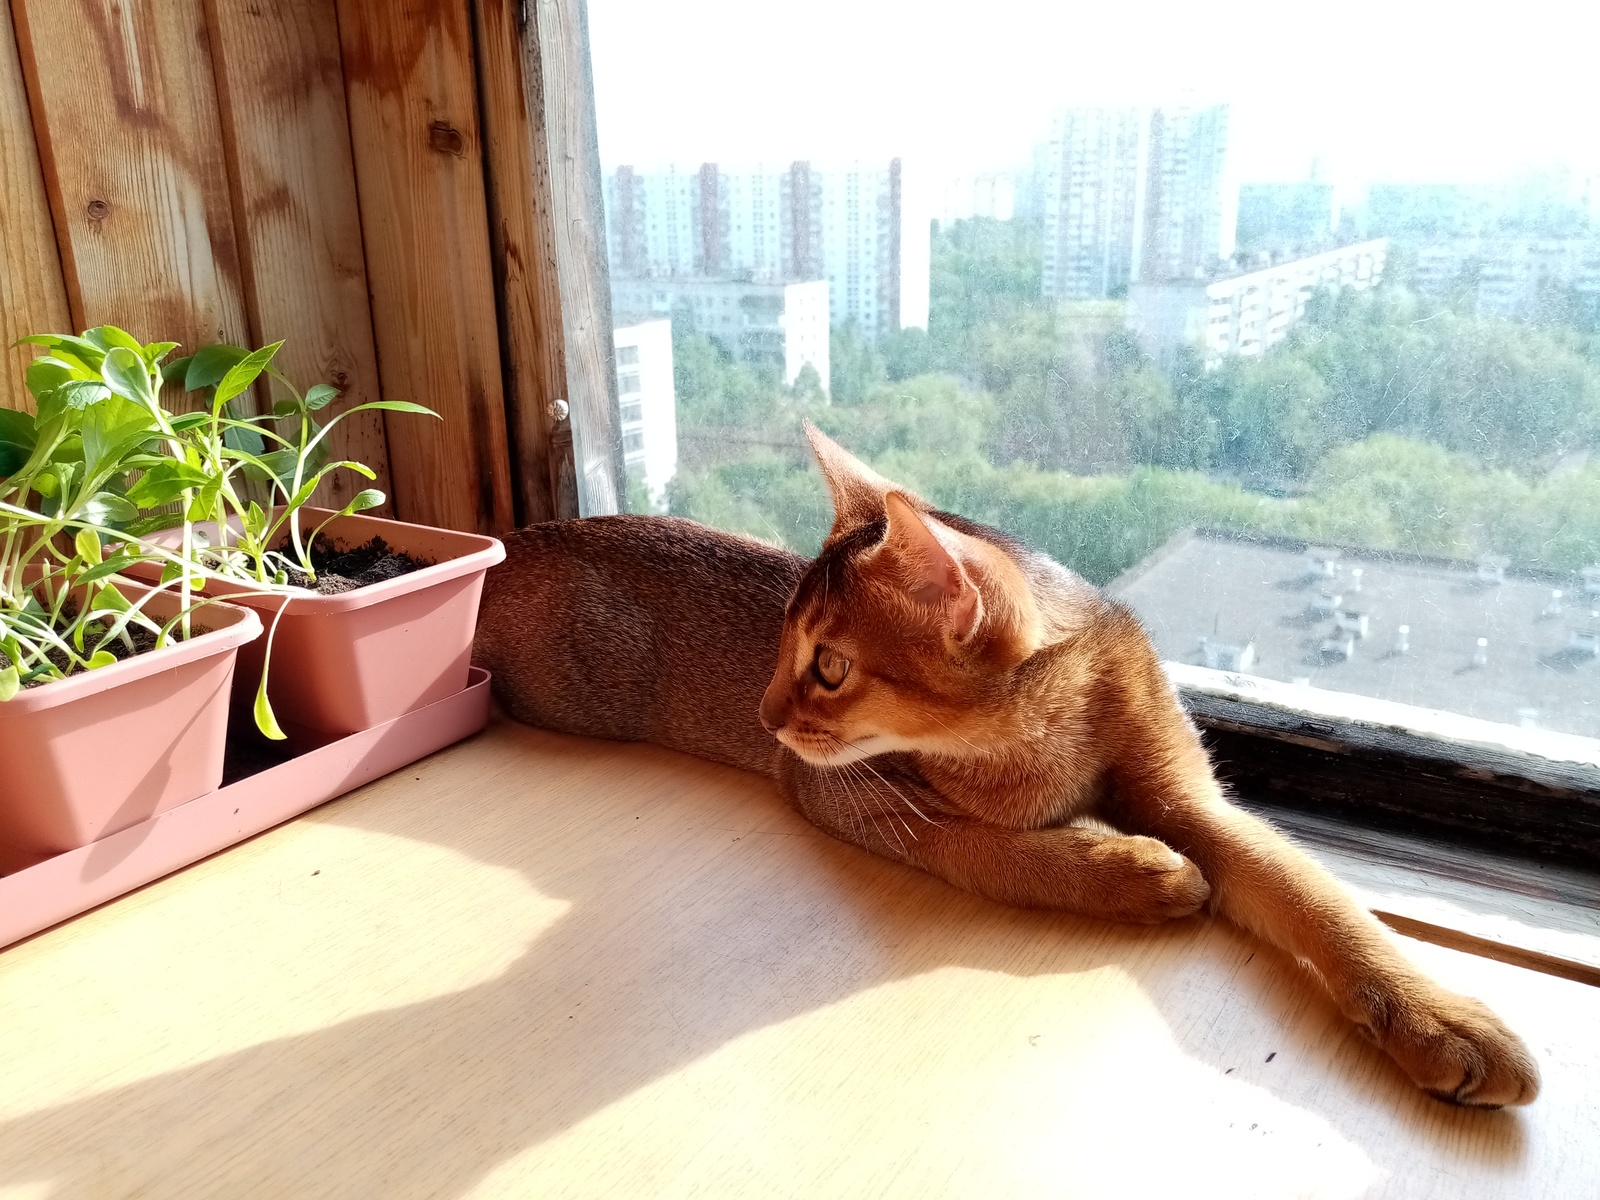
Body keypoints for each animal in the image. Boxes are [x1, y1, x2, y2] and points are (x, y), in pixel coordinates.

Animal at [473, 422, 1536, 1107]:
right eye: (779, 648)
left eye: (827, 666)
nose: (766, 715)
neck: (1047, 738)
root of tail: (517, 540)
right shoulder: (842, 791)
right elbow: (990, 848)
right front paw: (1135, 871)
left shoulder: (1191, 795)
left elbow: (1309, 888)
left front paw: (1442, 1021)